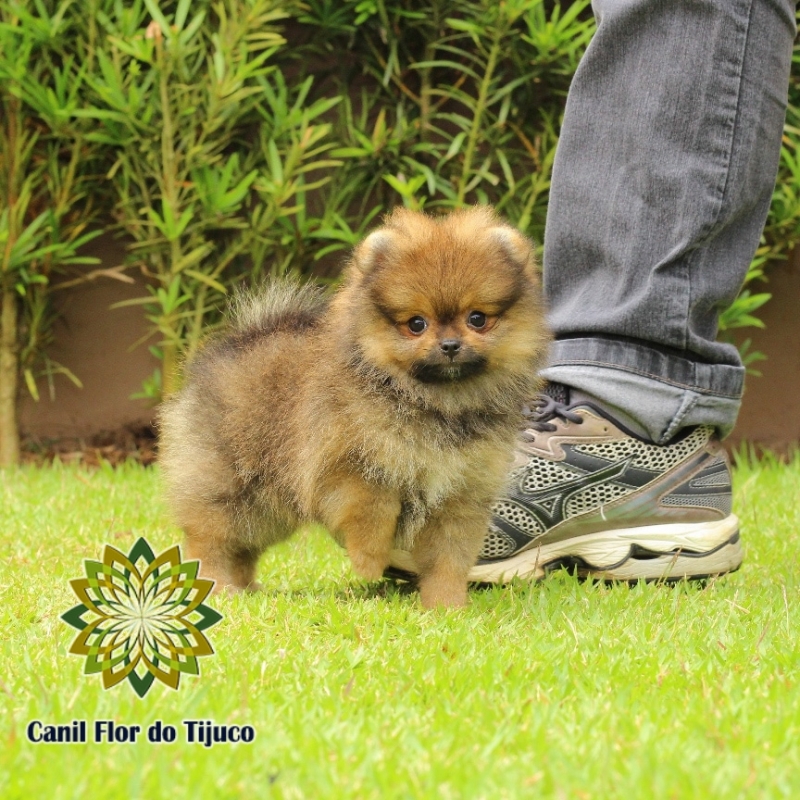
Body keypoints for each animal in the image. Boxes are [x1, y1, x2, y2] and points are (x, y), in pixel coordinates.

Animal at [160, 206, 552, 608]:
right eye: (416, 324)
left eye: (477, 319)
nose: (450, 345)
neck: (434, 404)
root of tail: (240, 338)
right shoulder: (349, 468)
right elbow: (374, 515)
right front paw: (369, 563)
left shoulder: (460, 495)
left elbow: (448, 559)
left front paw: (447, 606)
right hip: (232, 486)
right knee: (210, 539)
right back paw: (217, 588)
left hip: (265, 508)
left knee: (243, 547)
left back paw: (244, 588)